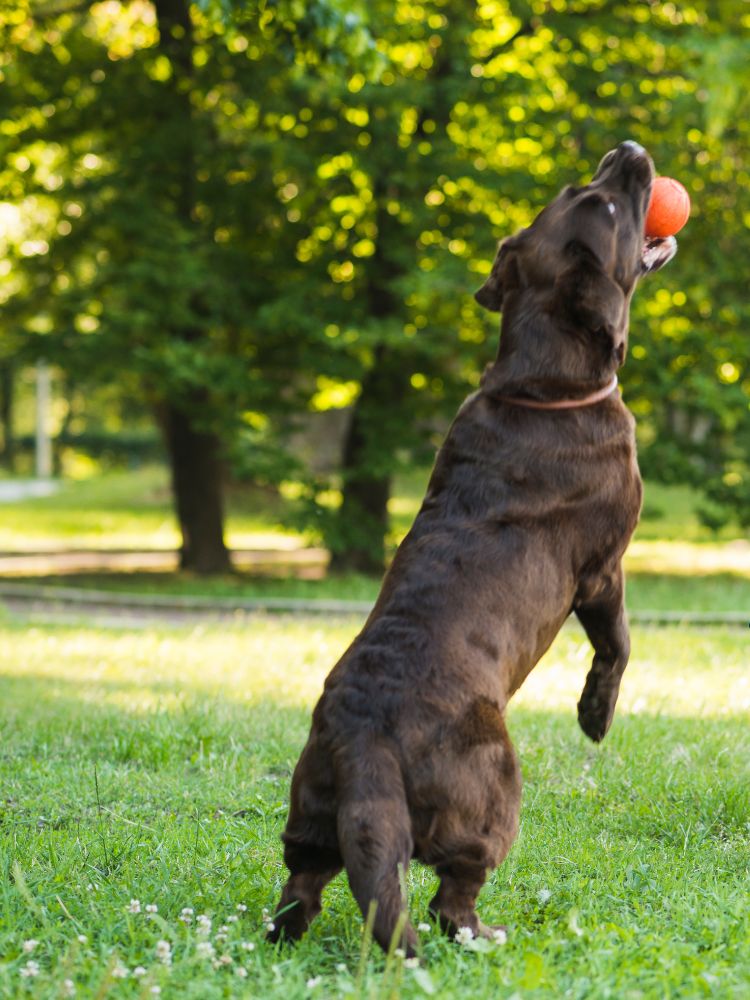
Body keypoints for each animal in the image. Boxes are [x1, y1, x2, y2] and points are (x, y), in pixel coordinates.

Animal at [268, 141, 680, 952]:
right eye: (606, 203)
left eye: (582, 186)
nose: (628, 150)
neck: (543, 384)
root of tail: (364, 740)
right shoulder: (603, 570)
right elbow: (617, 645)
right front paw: (595, 717)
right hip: (494, 788)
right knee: (450, 895)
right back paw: (484, 934)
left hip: (311, 808)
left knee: (304, 884)